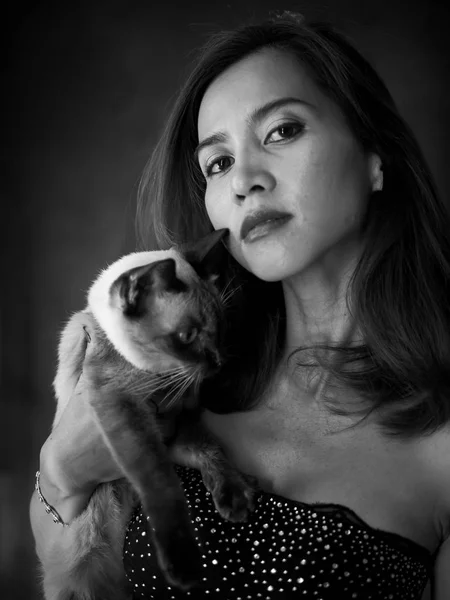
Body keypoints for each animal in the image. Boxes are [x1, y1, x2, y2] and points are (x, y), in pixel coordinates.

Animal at [44, 230, 258, 600]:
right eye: (187, 336)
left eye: (221, 329)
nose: (218, 363)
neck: (160, 376)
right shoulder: (125, 408)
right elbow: (161, 484)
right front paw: (184, 565)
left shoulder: (176, 427)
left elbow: (210, 452)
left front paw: (236, 496)